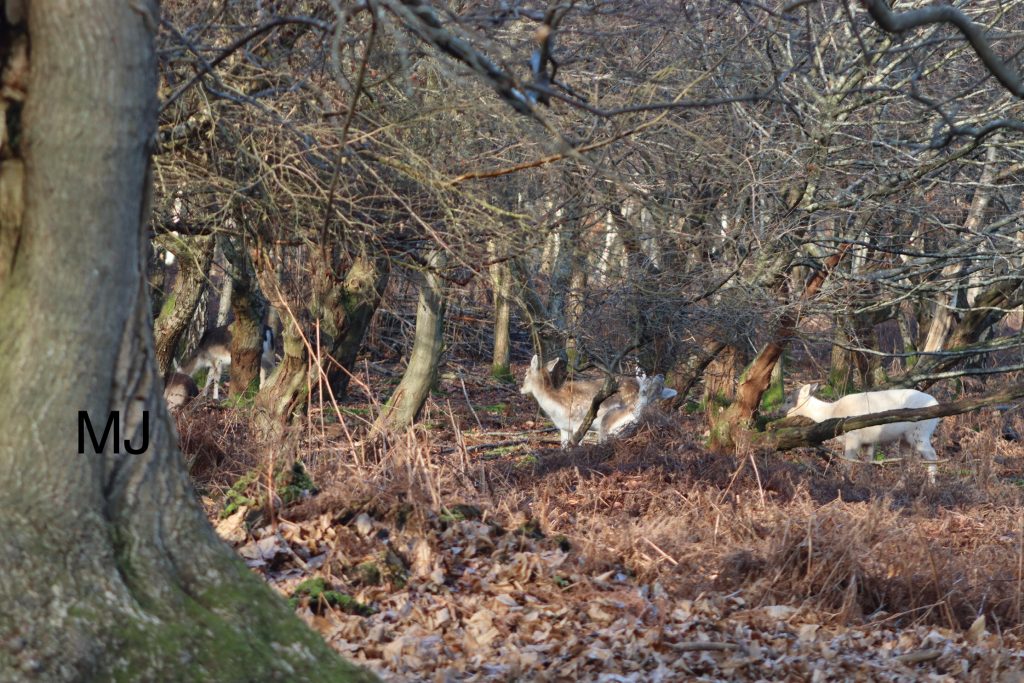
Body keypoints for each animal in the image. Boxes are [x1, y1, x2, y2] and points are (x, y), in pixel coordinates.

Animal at [782, 383, 941, 482]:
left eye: (789, 400)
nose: (780, 411)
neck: (831, 412)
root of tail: (937, 405)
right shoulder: (868, 441)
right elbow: (867, 462)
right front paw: (865, 482)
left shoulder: (853, 436)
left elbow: (848, 461)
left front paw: (845, 481)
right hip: (906, 438)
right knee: (906, 459)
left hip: (920, 431)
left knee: (932, 454)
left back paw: (931, 484)